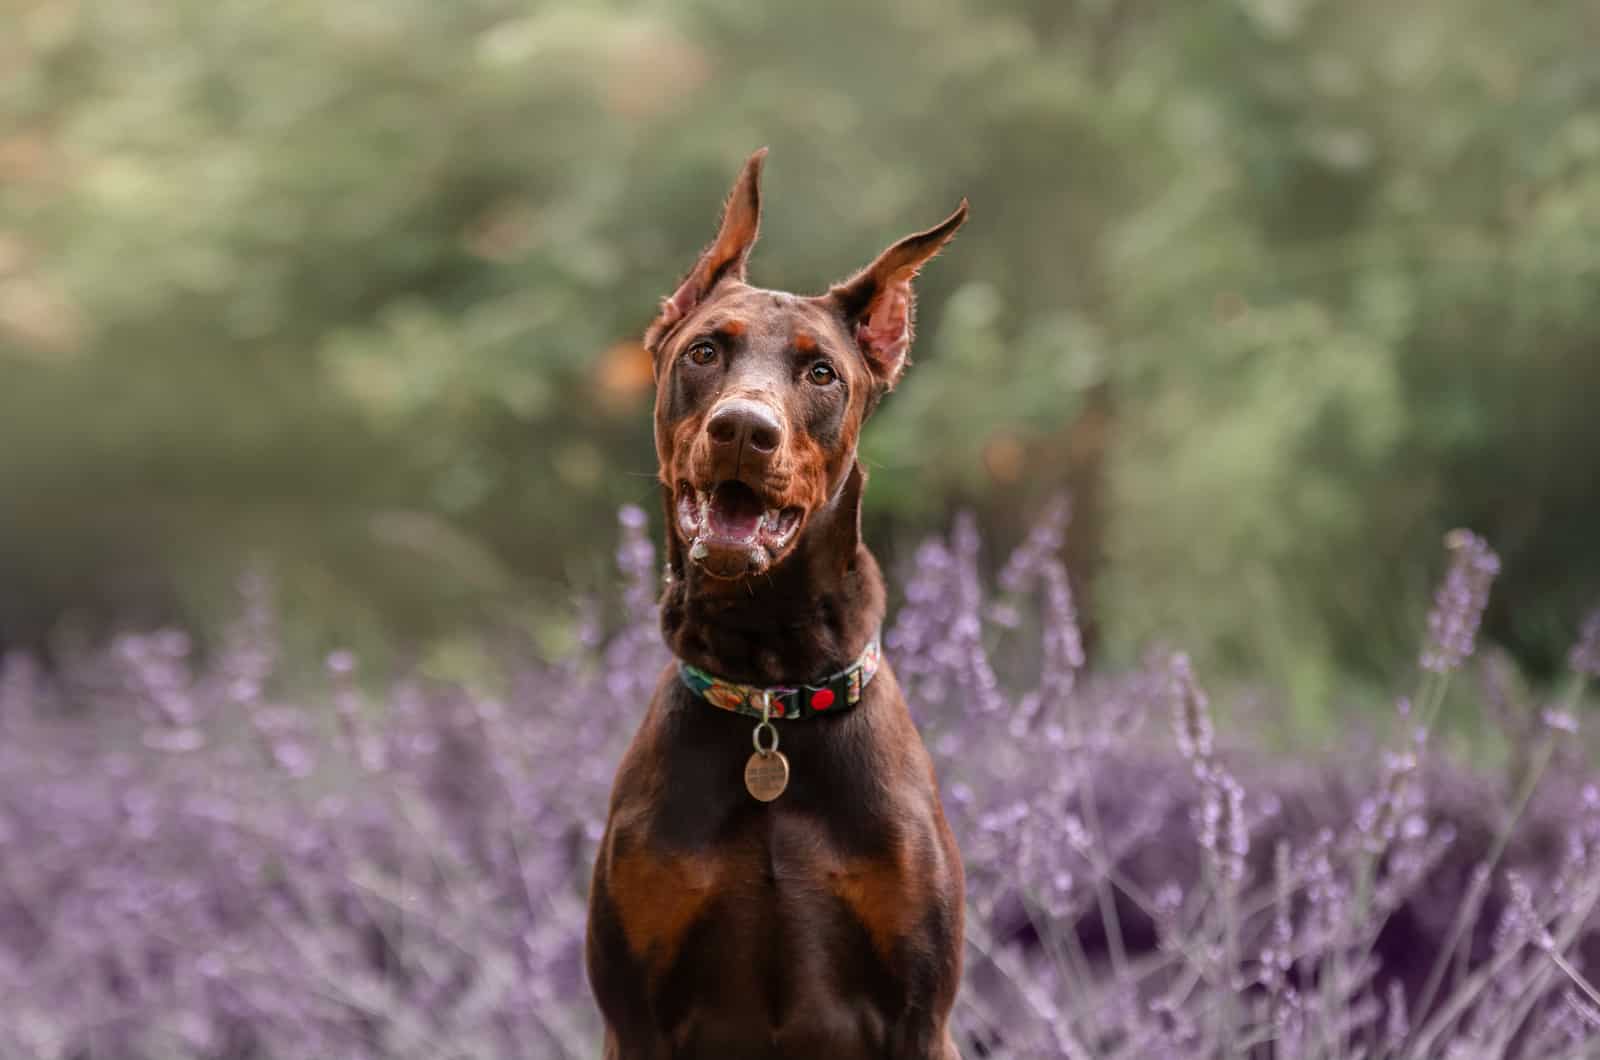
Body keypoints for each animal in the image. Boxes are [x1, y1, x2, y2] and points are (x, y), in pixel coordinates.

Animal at [585, 151, 960, 1060]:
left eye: (820, 372)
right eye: (704, 351)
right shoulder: (633, 1015)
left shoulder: (920, 1016)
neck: (768, 688)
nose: (744, 430)